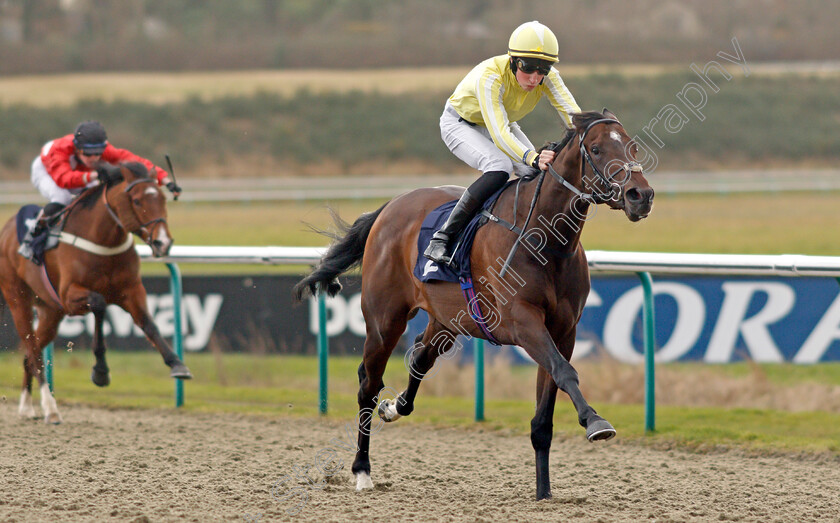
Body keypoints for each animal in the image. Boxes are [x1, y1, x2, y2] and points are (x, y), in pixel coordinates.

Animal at [0, 162, 190, 424]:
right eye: (137, 200)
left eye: (162, 198)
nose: (164, 243)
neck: (104, 241)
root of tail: (6, 229)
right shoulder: (70, 296)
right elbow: (100, 305)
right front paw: (100, 372)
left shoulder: (132, 290)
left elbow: (148, 323)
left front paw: (177, 364)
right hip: (18, 298)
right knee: (34, 351)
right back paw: (50, 408)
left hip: (51, 311)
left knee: (31, 352)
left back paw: (27, 406)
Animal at [296, 109, 656, 500]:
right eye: (596, 148)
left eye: (633, 146)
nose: (641, 195)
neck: (546, 240)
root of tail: (389, 207)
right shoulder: (523, 323)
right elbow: (564, 372)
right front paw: (595, 421)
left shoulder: (563, 331)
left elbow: (545, 412)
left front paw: (543, 491)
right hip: (384, 320)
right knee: (368, 385)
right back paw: (362, 470)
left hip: (446, 320)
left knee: (419, 357)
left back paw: (393, 407)